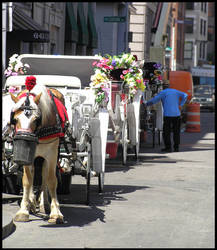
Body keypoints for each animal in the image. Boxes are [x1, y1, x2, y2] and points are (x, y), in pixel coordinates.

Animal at [9, 81, 65, 224]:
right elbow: (27, 180)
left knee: (44, 176)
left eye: (36, 119)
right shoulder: (27, 156)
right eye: (15, 119)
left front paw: (56, 213)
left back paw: (43, 204)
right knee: (35, 175)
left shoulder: (51, 154)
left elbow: (51, 180)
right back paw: (32, 202)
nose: (24, 138)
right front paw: (24, 210)